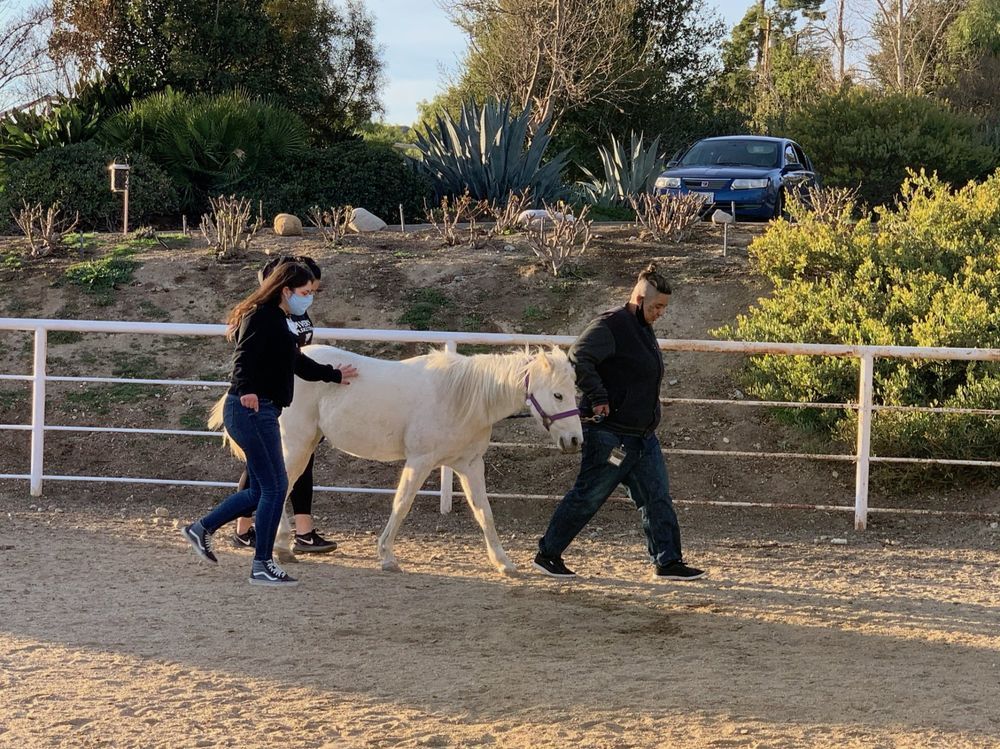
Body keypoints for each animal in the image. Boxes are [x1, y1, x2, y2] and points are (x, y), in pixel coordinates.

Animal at [209, 345, 583, 575]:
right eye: (558, 394)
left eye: (574, 391)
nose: (575, 441)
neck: (460, 397)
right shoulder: (420, 461)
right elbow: (401, 504)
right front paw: (387, 557)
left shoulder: (470, 465)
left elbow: (485, 514)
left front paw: (504, 563)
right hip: (296, 443)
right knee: (279, 485)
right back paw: (278, 546)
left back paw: (282, 546)